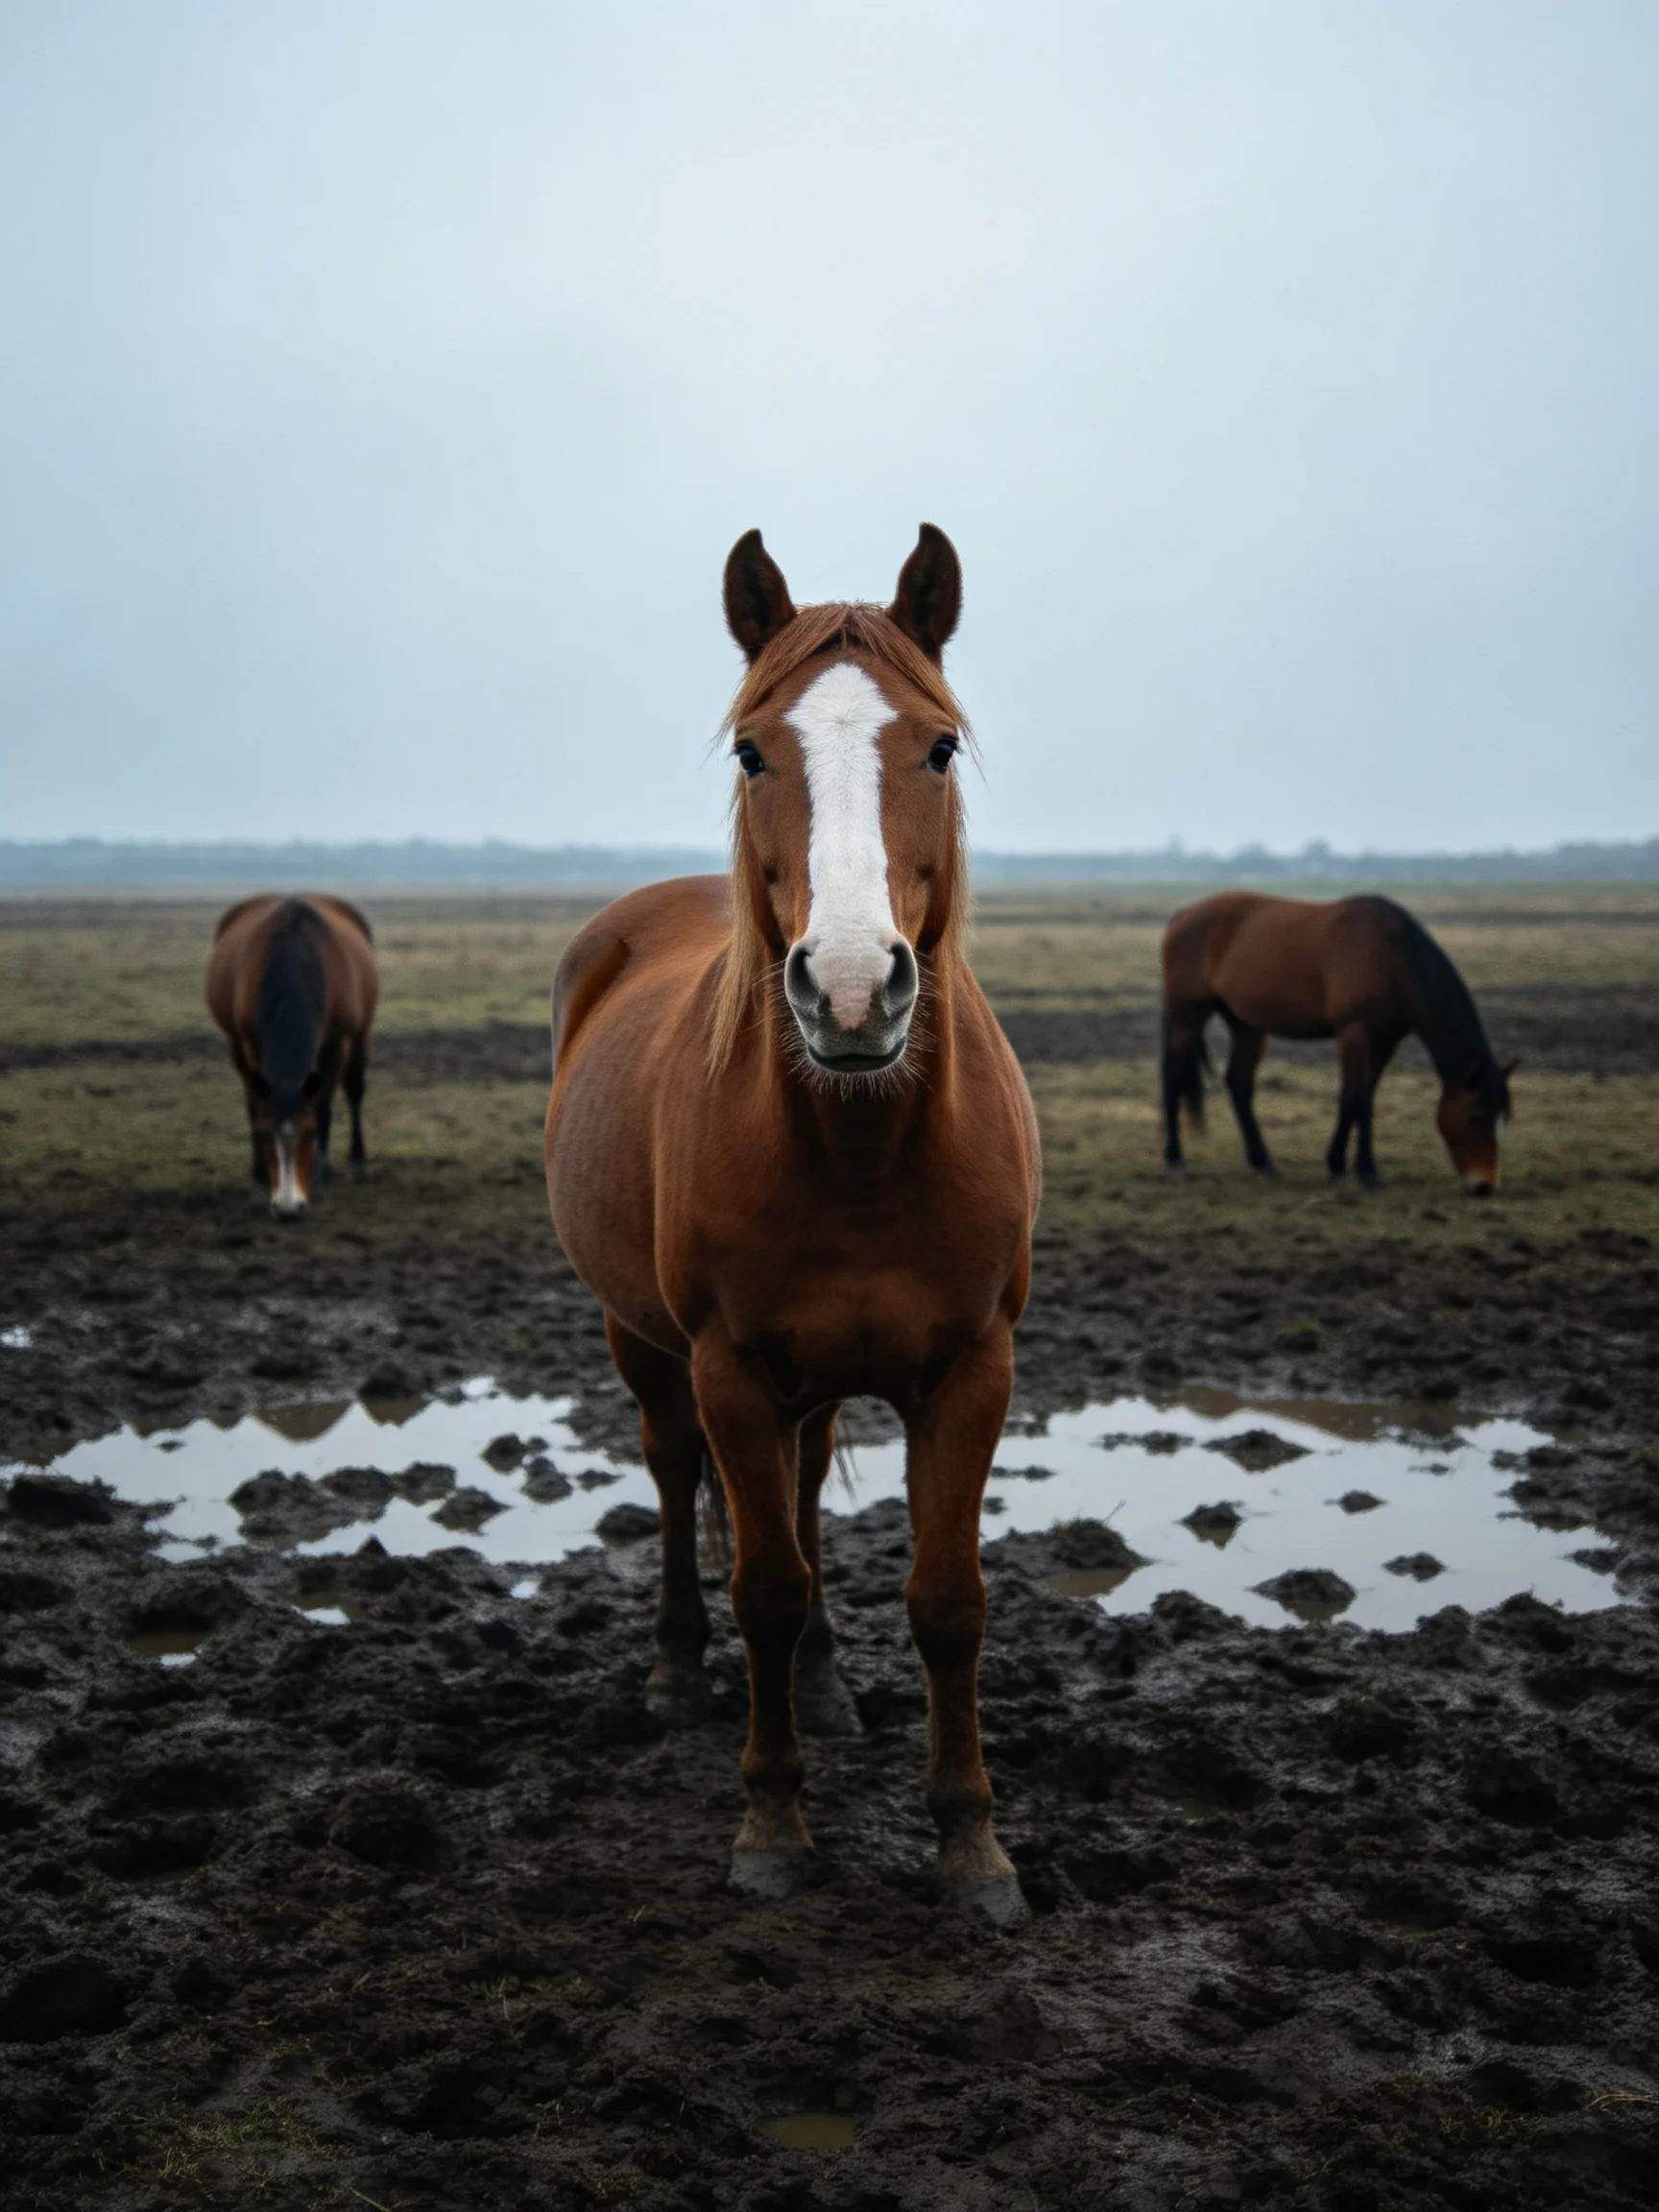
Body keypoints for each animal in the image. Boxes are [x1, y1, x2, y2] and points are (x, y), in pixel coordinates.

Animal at [205, 894, 378, 1220]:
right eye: (264, 1134)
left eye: (308, 1133)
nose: (287, 1208)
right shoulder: (250, 1044)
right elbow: (255, 1108)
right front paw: (259, 1180)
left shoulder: (335, 1043)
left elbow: (322, 1107)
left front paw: (318, 1183)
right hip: (236, 1045)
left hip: (362, 1032)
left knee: (354, 1090)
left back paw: (356, 1161)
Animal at [544, 526, 1041, 1919]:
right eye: (752, 751)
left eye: (938, 745)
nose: (856, 988)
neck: (859, 1145)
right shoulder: (729, 1368)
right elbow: (761, 1586)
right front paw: (771, 1828)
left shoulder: (973, 1370)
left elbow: (948, 1602)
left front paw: (972, 1844)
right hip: (645, 1342)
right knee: (672, 1478)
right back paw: (673, 1673)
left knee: (811, 1486)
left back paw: (823, 1686)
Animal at [1160, 891, 1517, 1194]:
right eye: (1475, 1116)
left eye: (1506, 1117)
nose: (1484, 1186)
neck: (1391, 955)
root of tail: (1184, 915)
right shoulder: (1354, 1033)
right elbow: (1356, 1098)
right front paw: (1359, 1172)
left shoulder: (1384, 1041)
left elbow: (1361, 1097)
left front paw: (1347, 1167)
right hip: (1187, 1015)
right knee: (1174, 1079)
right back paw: (1175, 1161)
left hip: (1246, 1024)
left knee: (1239, 1084)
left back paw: (1263, 1164)